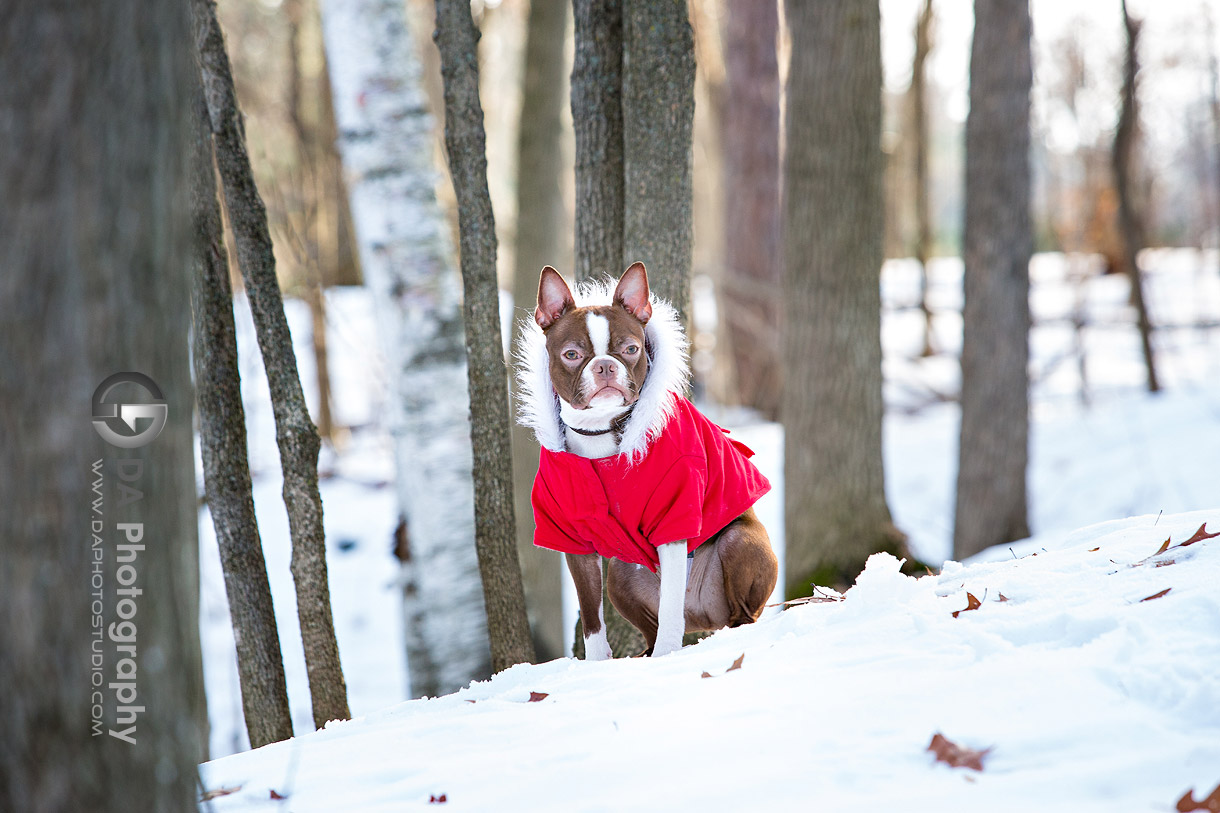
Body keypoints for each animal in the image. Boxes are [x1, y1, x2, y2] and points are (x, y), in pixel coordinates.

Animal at [517, 262, 780, 654]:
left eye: (630, 348)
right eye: (571, 355)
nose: (605, 366)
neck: (605, 434)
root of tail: (703, 615)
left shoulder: (674, 518)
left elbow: (670, 607)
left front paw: (668, 657)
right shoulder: (573, 542)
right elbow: (592, 618)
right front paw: (597, 662)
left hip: (739, 544)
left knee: (739, 613)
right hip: (621, 575)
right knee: (650, 625)